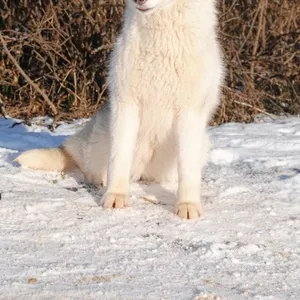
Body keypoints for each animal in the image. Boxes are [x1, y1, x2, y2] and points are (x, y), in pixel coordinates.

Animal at [15, 0, 223, 219]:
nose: (138, 1)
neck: (161, 44)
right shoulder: (126, 104)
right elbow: (119, 159)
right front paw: (116, 197)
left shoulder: (189, 112)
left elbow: (188, 168)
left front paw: (187, 205)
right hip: (101, 136)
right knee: (84, 161)